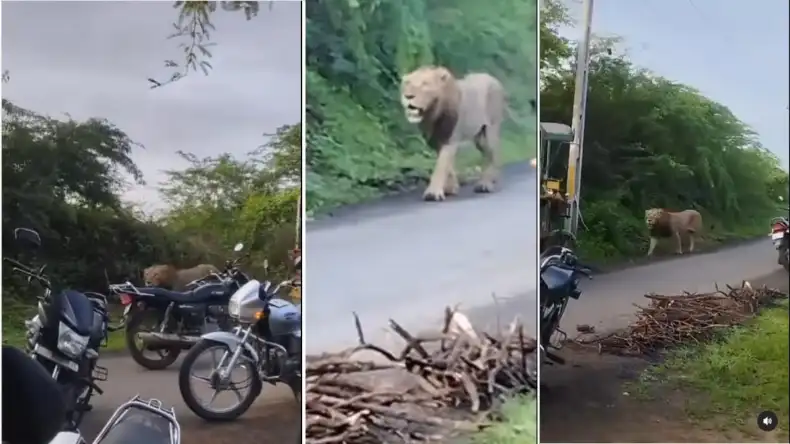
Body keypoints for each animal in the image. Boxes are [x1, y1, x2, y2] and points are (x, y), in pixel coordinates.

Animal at [402, 65, 508, 200]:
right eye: (407, 83)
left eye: (425, 84)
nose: (408, 96)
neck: (432, 115)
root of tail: (493, 78)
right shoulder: (436, 141)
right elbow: (448, 166)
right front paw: (451, 188)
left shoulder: (450, 140)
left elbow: (441, 166)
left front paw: (433, 193)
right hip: (479, 137)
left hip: (490, 130)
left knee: (492, 154)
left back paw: (485, 184)